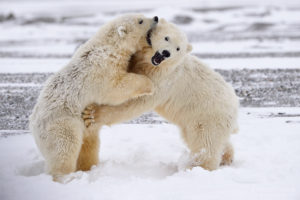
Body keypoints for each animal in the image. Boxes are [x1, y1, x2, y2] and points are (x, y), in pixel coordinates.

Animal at [29, 13, 159, 180]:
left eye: (142, 16)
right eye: (141, 21)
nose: (156, 18)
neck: (110, 45)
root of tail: (33, 124)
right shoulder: (102, 67)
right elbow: (115, 88)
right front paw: (149, 84)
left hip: (81, 127)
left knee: (89, 145)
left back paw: (89, 168)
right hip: (61, 123)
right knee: (65, 148)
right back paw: (65, 176)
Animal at [82, 18, 239, 171]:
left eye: (178, 48)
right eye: (166, 38)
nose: (166, 53)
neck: (155, 66)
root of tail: (235, 107)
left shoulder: (164, 81)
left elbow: (136, 103)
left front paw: (92, 114)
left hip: (207, 115)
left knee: (205, 142)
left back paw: (195, 166)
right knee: (205, 139)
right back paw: (226, 157)